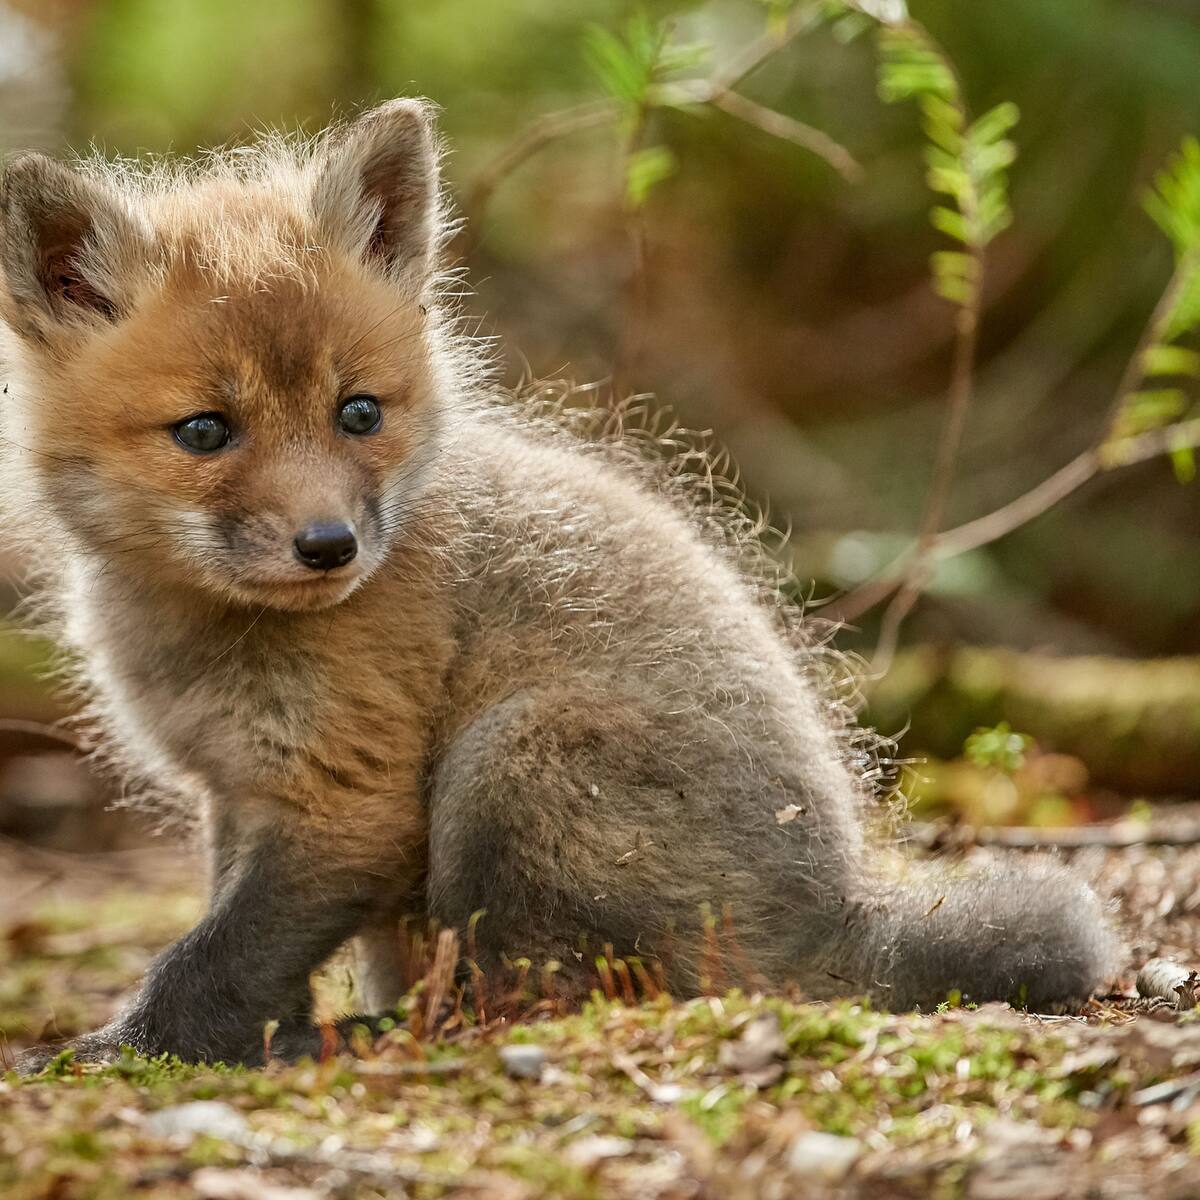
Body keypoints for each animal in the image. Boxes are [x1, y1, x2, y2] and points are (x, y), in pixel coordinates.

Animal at [0, 99, 1119, 1069]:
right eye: (204, 432)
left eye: (358, 414)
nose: (329, 547)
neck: (209, 634)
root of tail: (834, 916)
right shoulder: (236, 792)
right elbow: (241, 943)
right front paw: (245, 1038)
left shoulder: (344, 800)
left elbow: (211, 961)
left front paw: (126, 1051)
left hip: (515, 761)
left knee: (533, 997)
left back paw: (377, 1038)